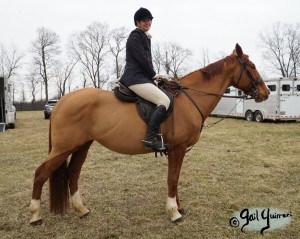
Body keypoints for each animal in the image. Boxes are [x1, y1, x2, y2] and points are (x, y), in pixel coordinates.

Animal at [29, 44, 270, 225]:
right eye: (251, 66)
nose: (266, 93)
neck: (189, 99)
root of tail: (60, 102)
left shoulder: (176, 150)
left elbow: (175, 177)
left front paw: (179, 207)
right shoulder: (177, 148)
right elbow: (172, 178)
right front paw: (174, 212)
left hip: (82, 145)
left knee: (72, 173)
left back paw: (81, 209)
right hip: (64, 147)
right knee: (41, 173)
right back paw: (35, 215)